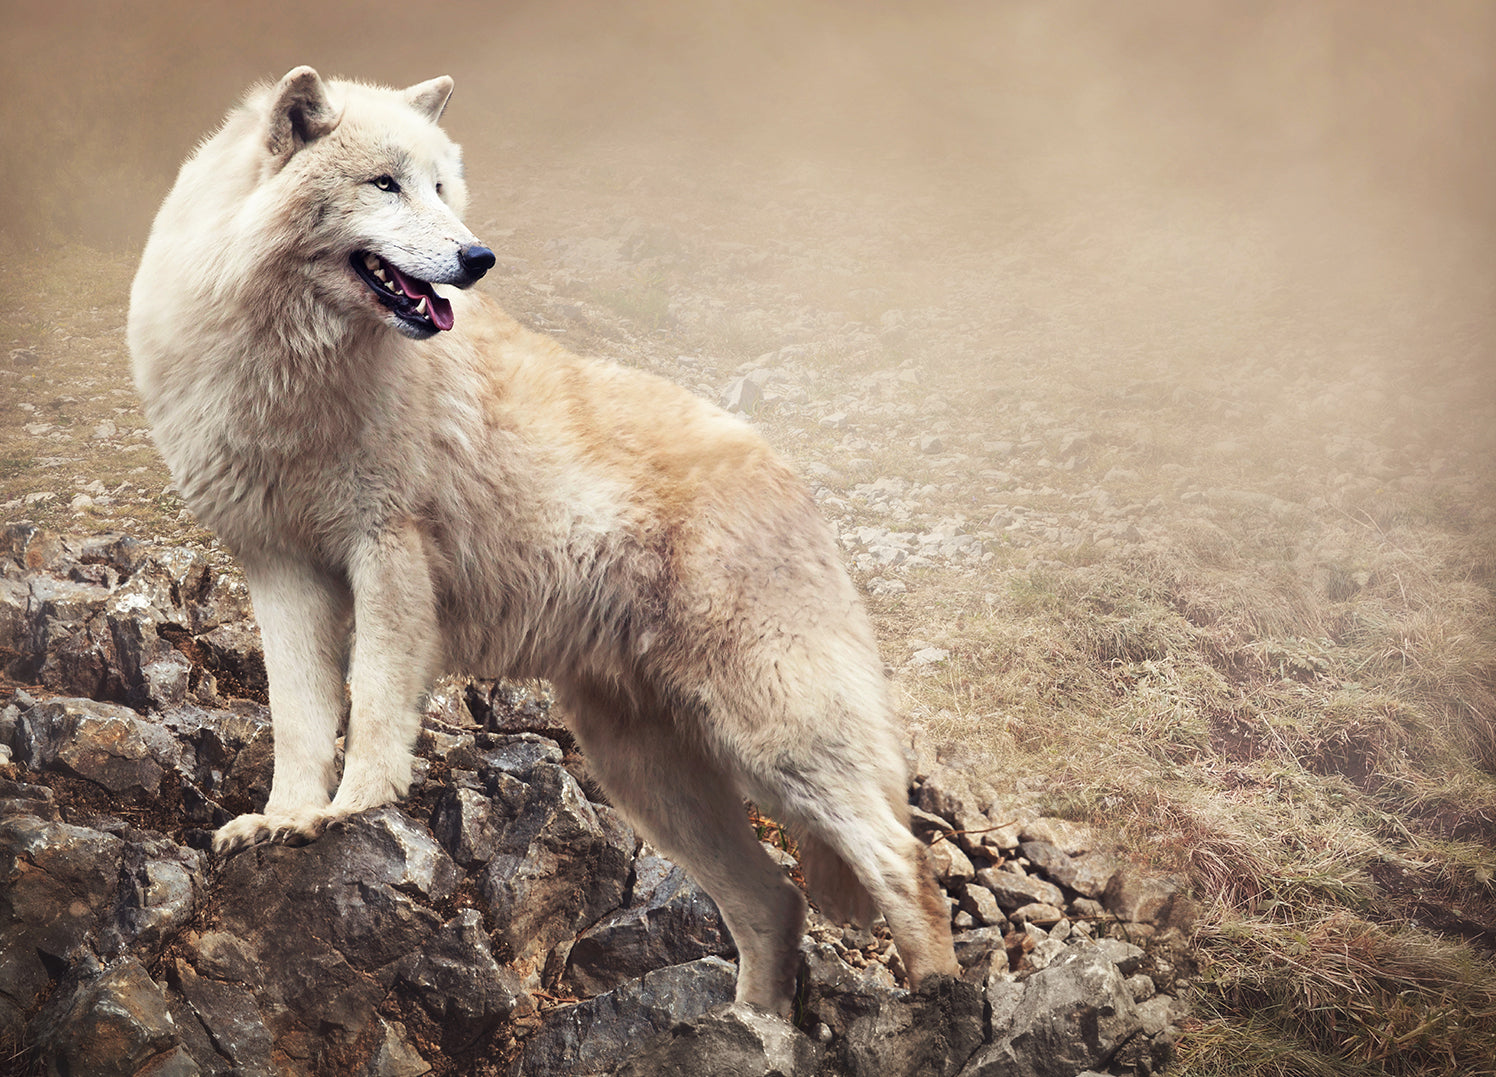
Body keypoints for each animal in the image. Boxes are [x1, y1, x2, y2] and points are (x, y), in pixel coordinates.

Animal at [128, 66, 958, 1012]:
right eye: (385, 185)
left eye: (442, 188)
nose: (477, 259)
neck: (293, 372)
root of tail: (790, 474)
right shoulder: (280, 570)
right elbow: (298, 717)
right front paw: (287, 819)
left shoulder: (386, 550)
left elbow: (371, 703)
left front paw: (353, 810)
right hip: (648, 774)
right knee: (776, 900)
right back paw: (752, 1024)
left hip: (777, 736)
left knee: (905, 860)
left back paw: (934, 1004)